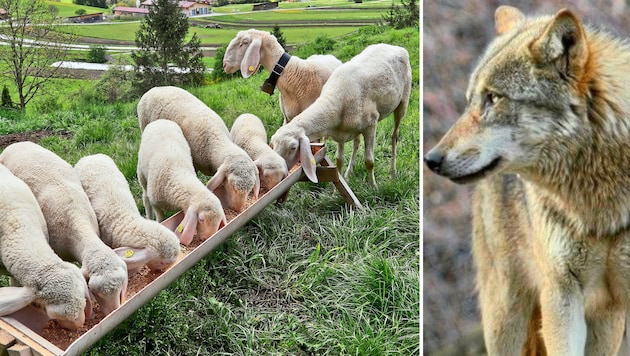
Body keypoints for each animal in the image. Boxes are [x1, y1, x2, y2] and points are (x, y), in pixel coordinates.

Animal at [270, 43, 414, 186]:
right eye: (272, 145)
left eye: (293, 148)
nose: (280, 174)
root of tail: (395, 46)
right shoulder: (340, 133)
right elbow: (339, 161)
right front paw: (337, 187)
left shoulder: (371, 125)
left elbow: (369, 161)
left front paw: (374, 186)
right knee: (357, 142)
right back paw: (349, 173)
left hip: (403, 103)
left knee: (394, 136)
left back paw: (392, 172)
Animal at [424, 5, 630, 356]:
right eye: (470, 100)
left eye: (493, 98)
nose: (431, 160)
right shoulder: (561, 294)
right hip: (507, 315)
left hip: (606, 320)